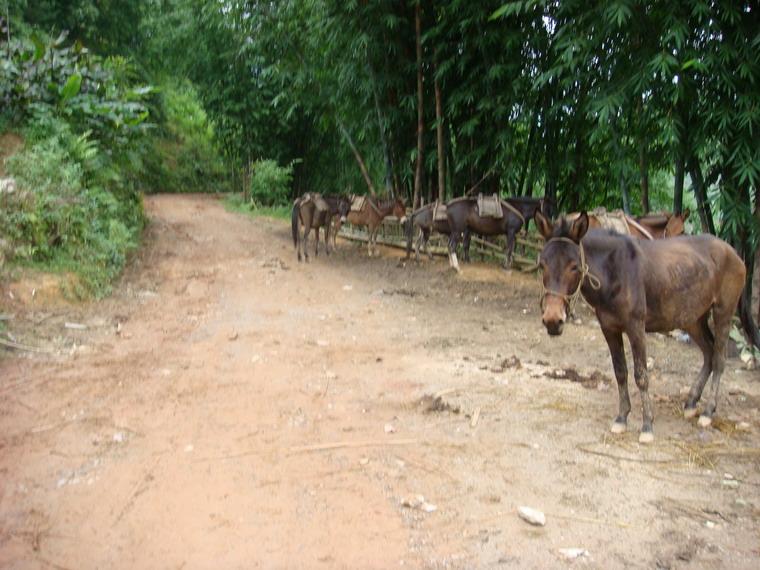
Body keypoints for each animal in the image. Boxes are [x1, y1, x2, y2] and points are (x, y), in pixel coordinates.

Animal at [536, 211, 748, 442]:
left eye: (574, 266)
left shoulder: (636, 328)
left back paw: (708, 412)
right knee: (708, 353)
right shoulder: (609, 329)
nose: (553, 320)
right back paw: (692, 402)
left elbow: (641, 376)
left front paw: (647, 425)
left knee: (718, 359)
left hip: (723, 313)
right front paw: (621, 418)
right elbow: (620, 372)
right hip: (693, 319)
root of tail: (733, 252)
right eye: (542, 265)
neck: (614, 271)